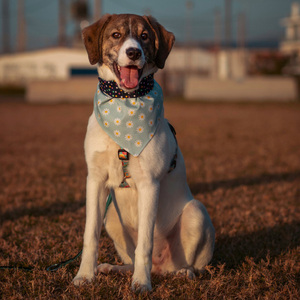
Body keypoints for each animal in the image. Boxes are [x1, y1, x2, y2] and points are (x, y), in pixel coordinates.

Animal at [73, 14, 214, 292]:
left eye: (144, 36)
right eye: (116, 35)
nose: (133, 52)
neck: (124, 101)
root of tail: (161, 266)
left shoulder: (149, 184)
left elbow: (145, 245)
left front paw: (140, 283)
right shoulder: (95, 180)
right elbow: (90, 236)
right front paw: (84, 276)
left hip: (196, 212)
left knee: (190, 267)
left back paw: (181, 272)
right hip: (111, 218)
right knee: (133, 257)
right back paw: (113, 268)